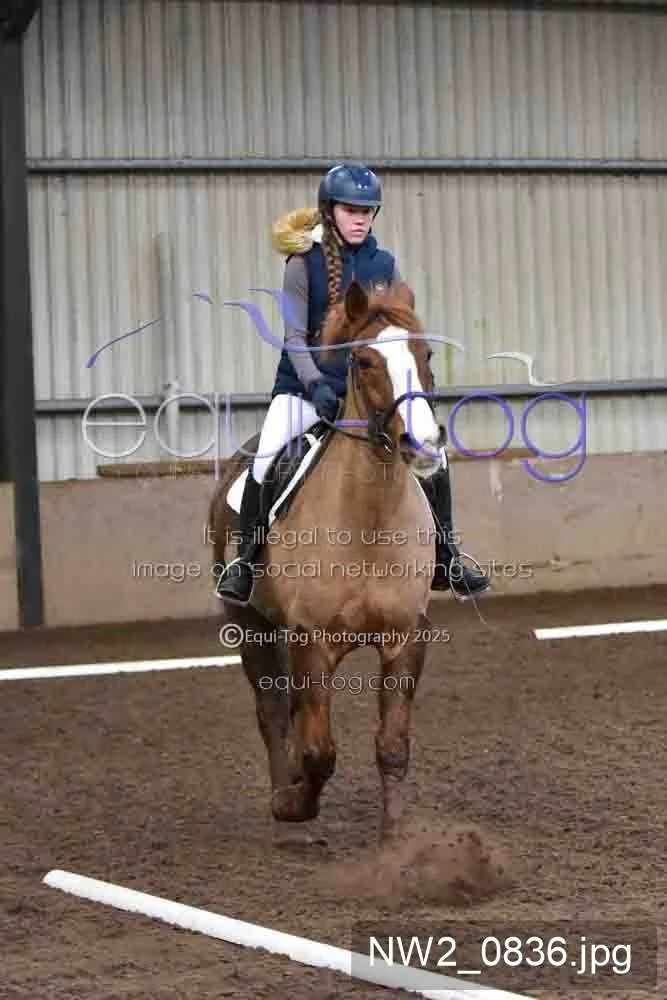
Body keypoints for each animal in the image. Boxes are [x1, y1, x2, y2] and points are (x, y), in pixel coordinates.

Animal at [208, 279, 447, 841]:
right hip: (250, 624)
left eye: (426, 354)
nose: (423, 444)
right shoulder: (310, 640)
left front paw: (394, 843)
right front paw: (295, 803)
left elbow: (392, 747)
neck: (369, 522)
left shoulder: (406, 636)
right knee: (272, 710)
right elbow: (320, 752)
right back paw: (283, 792)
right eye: (364, 360)